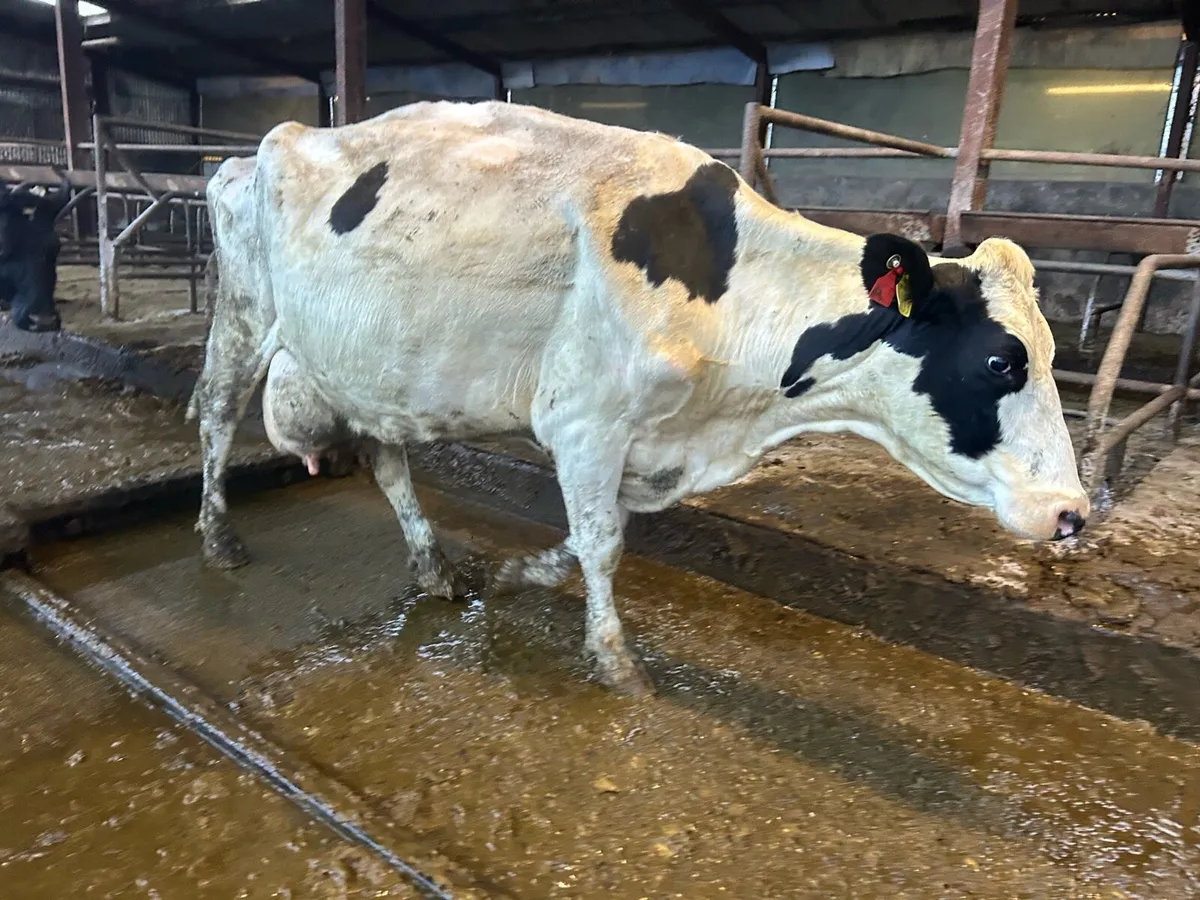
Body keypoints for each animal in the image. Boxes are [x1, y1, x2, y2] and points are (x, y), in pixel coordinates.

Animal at [189, 100, 1089, 696]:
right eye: (1003, 361)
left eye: (1052, 355)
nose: (1073, 513)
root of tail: (266, 145)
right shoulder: (585, 420)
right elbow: (602, 544)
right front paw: (617, 663)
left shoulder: (640, 440)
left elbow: (593, 535)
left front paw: (516, 576)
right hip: (244, 314)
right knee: (217, 415)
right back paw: (220, 540)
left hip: (371, 364)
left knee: (386, 457)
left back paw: (435, 567)